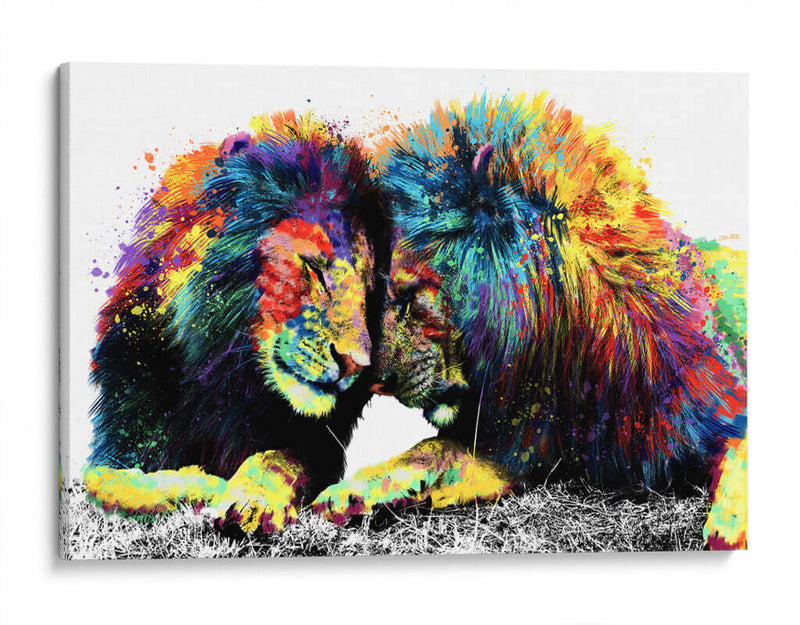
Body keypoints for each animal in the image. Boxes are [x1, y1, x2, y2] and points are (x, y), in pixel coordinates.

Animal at [84, 111, 388, 534]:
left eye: (368, 290)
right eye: (314, 269)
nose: (356, 366)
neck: (223, 379)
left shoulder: (318, 448)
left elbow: (278, 459)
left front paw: (253, 501)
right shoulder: (117, 441)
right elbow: (113, 483)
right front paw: (204, 486)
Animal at [312, 93, 747, 550]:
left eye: (411, 296)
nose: (371, 382)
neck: (568, 362)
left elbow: (741, 450)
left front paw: (730, 525)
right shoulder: (513, 451)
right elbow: (429, 449)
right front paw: (350, 493)